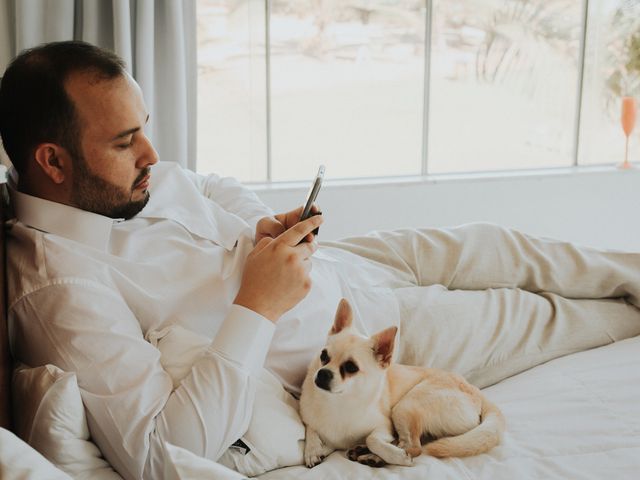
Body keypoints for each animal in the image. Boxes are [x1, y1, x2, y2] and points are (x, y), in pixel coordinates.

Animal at [300, 298, 504, 466]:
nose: (322, 373)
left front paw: (394, 456)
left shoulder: (384, 426)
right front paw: (313, 450)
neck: (337, 402)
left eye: (351, 368)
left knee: (414, 447)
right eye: (323, 356)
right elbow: (311, 427)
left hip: (405, 407)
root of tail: (476, 391)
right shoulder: (311, 419)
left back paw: (377, 456)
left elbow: (372, 439)